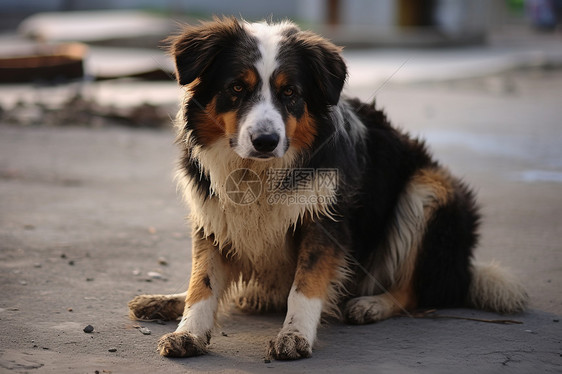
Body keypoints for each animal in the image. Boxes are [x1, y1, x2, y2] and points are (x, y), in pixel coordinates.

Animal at [129, 16, 528, 360]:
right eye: (236, 88)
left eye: (290, 92)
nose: (266, 141)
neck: (259, 172)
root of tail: (463, 269)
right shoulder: (214, 215)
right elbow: (204, 282)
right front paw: (188, 332)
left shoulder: (324, 221)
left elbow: (305, 286)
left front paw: (294, 335)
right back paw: (167, 300)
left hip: (429, 188)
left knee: (416, 289)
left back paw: (371, 304)